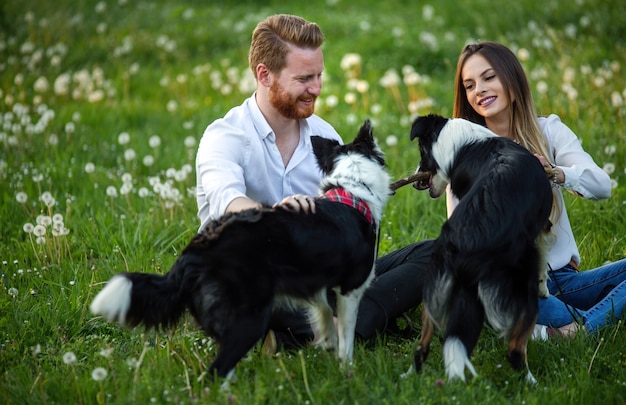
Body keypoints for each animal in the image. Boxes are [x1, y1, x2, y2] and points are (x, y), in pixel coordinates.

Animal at [90, 118, 388, 380]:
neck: (354, 188)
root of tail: (194, 251)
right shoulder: (351, 289)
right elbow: (346, 338)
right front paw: (347, 371)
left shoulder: (318, 284)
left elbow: (325, 317)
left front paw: (327, 347)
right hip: (250, 318)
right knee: (215, 371)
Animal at [408, 113, 548, 382]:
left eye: (420, 152)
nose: (414, 182)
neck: (462, 145)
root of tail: (461, 243)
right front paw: (546, 284)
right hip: (520, 284)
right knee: (515, 350)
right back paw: (535, 383)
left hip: (436, 284)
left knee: (424, 345)